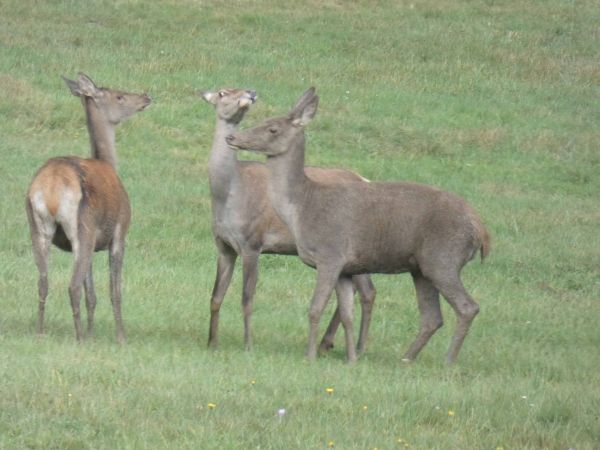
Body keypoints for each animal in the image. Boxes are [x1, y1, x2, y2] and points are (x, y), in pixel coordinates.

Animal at [25, 73, 151, 342]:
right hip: (82, 225)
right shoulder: (120, 231)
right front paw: (120, 337)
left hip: (37, 225)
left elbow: (92, 294)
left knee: (43, 281)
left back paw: (40, 332)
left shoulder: (93, 244)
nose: (146, 97)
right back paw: (80, 337)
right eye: (119, 95)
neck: (108, 163)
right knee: (72, 286)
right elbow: (114, 291)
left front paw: (94, 333)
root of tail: (51, 188)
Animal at [202, 88, 376, 354]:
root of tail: (364, 179)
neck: (230, 194)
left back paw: (351, 347)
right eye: (223, 92)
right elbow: (215, 296)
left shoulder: (252, 242)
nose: (250, 93)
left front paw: (248, 345)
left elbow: (247, 298)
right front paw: (212, 342)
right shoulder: (224, 246)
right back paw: (329, 344)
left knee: (367, 290)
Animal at [227, 88, 490, 366]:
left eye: (273, 128)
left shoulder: (330, 254)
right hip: (421, 268)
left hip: (443, 257)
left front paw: (310, 356)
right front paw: (352, 358)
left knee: (467, 307)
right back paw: (406, 359)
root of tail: (482, 230)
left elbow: (315, 308)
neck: (304, 207)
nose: (233, 137)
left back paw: (447, 361)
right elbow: (347, 314)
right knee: (432, 317)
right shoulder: (346, 269)